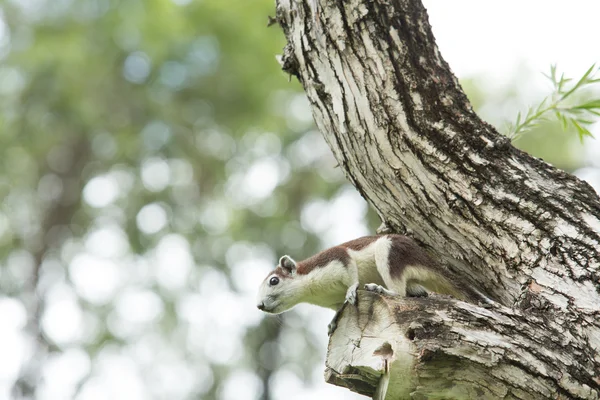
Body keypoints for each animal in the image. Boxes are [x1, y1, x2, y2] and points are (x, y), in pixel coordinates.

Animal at [255, 233, 486, 332]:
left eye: (274, 281)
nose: (259, 305)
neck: (313, 291)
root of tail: (425, 258)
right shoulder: (331, 301)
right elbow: (339, 308)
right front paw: (333, 321)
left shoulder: (337, 259)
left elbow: (351, 276)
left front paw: (351, 290)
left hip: (389, 251)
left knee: (400, 292)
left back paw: (380, 288)